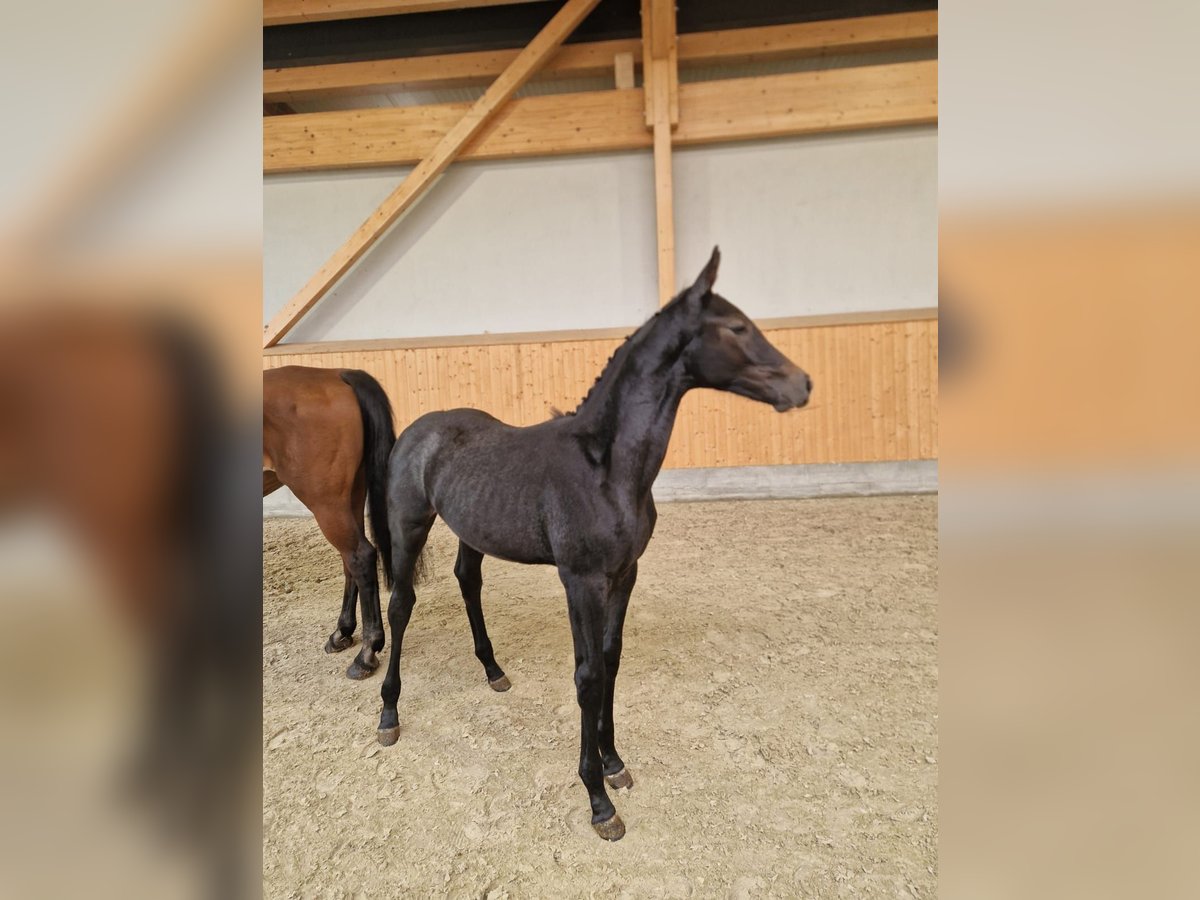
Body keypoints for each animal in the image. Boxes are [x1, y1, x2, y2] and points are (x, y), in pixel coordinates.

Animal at [263, 365, 397, 680]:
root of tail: (336, 374)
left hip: (326, 502)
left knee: (359, 556)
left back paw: (367, 653)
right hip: (350, 496)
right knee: (350, 559)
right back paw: (342, 633)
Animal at [374, 247, 812, 841]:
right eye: (738, 327)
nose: (802, 384)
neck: (606, 469)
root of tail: (415, 430)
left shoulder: (624, 574)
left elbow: (611, 659)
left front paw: (613, 762)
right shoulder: (580, 581)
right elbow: (587, 676)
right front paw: (598, 800)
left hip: (472, 531)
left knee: (468, 582)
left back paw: (493, 671)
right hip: (409, 527)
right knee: (401, 605)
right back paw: (388, 713)